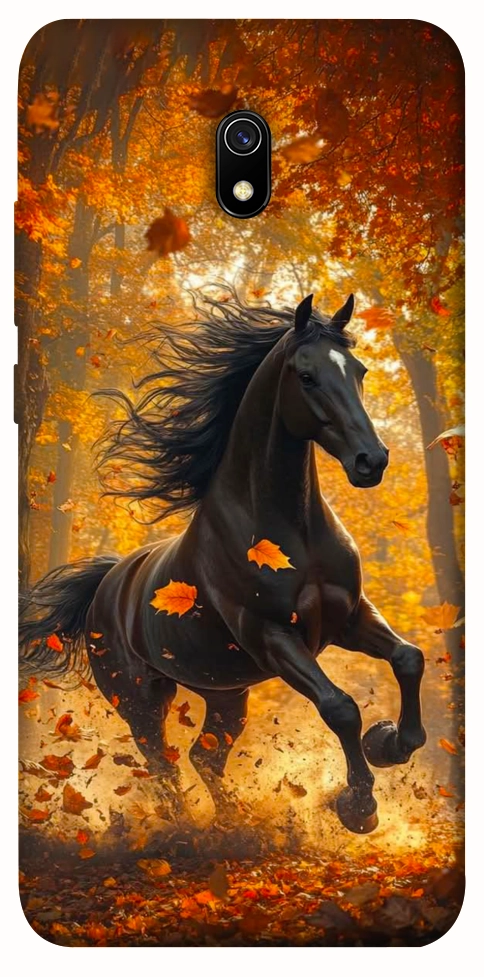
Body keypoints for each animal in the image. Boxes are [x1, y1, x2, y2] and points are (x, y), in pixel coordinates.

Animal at [20, 290, 427, 834]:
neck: (292, 531)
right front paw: (359, 806)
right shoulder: (271, 635)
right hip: (140, 698)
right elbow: (339, 707)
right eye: (307, 376)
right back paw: (192, 830)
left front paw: (390, 743)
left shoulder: (350, 617)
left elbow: (408, 658)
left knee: (204, 758)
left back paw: (238, 823)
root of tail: (106, 584)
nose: (371, 461)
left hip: (226, 694)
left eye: (358, 370)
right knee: (164, 765)